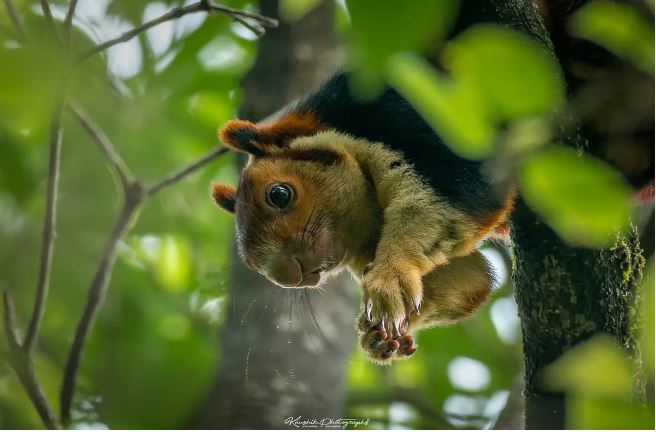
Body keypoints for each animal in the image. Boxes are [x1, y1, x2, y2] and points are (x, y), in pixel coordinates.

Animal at [211, 73, 515, 364]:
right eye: (252, 265)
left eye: (279, 194)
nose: (291, 277)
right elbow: (471, 279)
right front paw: (377, 335)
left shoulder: (409, 115)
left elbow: (454, 194)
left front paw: (391, 277)